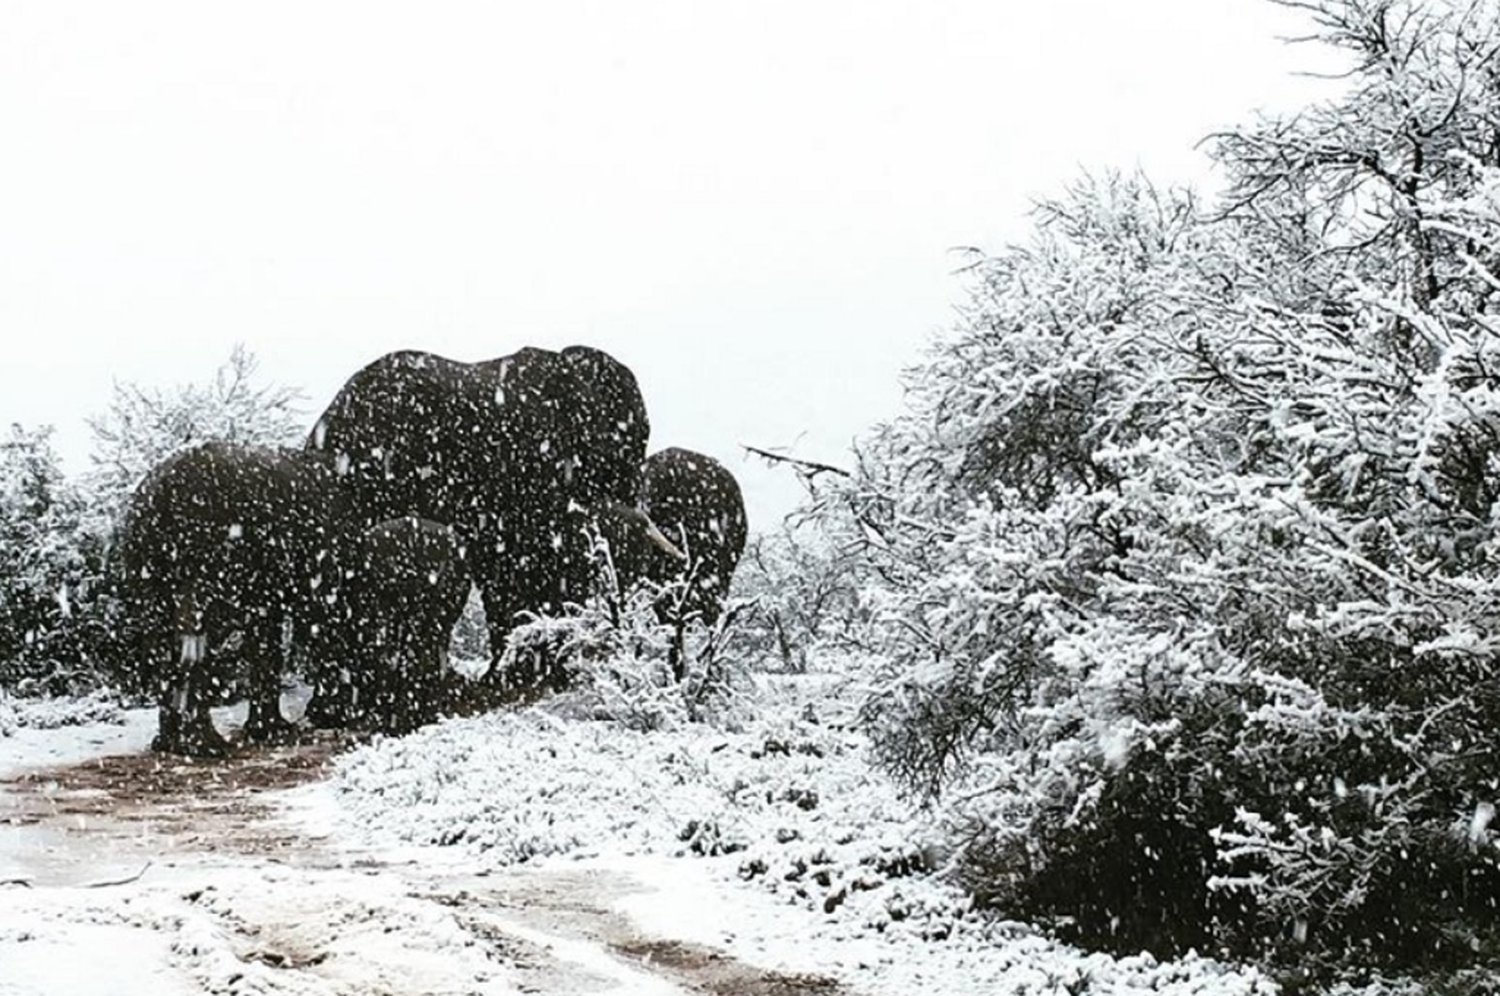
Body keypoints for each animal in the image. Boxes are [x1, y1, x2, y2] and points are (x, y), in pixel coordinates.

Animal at [114, 441, 345, 756]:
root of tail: (163, 491)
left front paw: (270, 731)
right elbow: (316, 617)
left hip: (143, 558)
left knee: (161, 638)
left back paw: (167, 744)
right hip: (211, 555)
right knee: (201, 637)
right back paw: (206, 747)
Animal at [315, 516, 474, 735]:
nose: (314, 714)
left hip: (397, 609)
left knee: (400, 656)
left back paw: (397, 720)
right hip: (442, 610)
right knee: (428, 658)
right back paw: (422, 715)